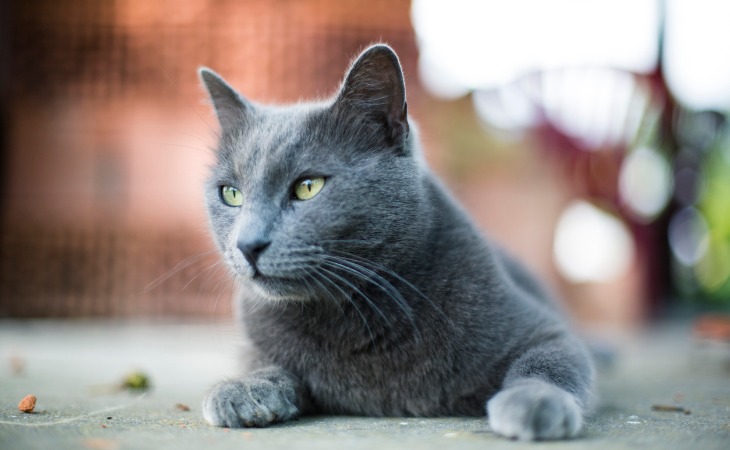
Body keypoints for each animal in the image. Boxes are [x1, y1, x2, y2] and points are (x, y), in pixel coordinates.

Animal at [198, 44, 592, 440]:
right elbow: (263, 360)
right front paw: (245, 389)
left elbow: (548, 363)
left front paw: (535, 401)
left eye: (308, 187)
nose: (248, 244)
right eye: (231, 194)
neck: (351, 313)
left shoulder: (544, 329)